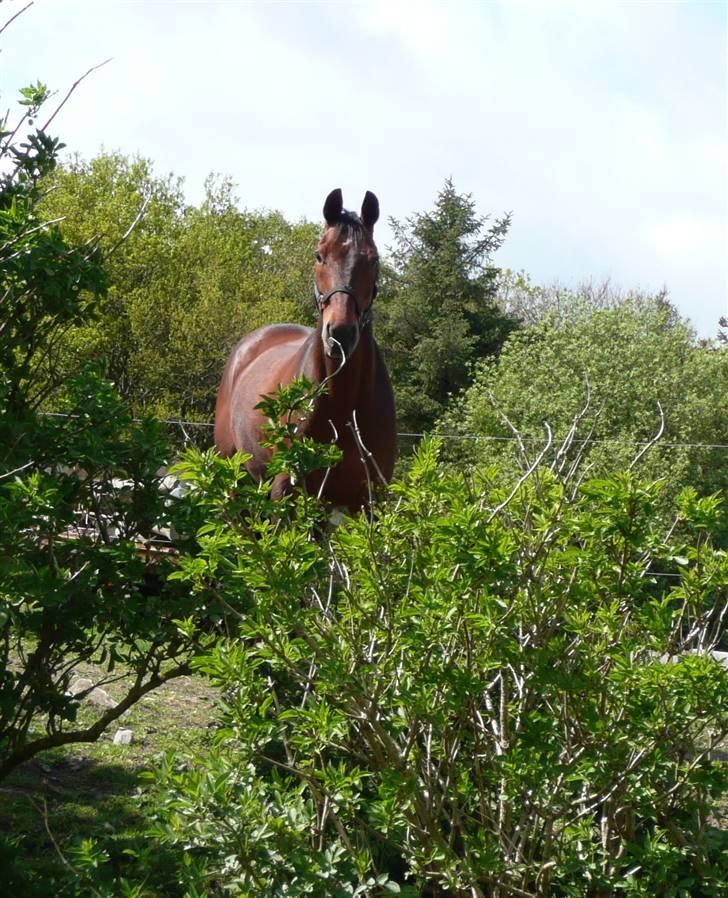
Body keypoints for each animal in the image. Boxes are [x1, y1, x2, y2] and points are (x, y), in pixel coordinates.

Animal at [213, 189, 396, 512]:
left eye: (373, 260)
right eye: (319, 255)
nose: (340, 334)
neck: (343, 402)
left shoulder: (370, 499)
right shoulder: (287, 488)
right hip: (234, 479)